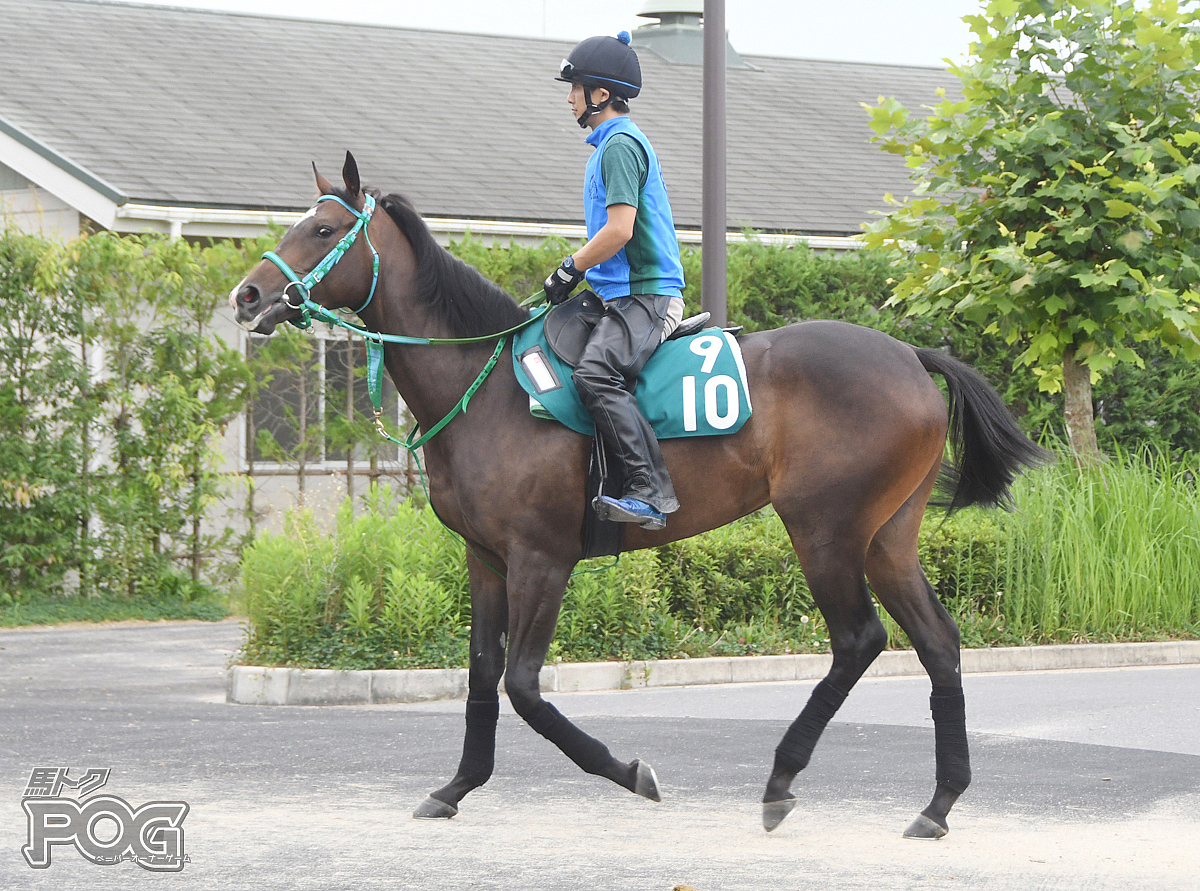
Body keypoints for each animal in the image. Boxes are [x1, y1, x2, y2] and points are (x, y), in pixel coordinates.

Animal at [229, 154, 1046, 845]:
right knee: (938, 642)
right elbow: (482, 676)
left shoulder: (542, 559)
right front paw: (457, 785)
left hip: (825, 528)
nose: (248, 295)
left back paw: (781, 780)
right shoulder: (485, 558)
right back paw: (938, 804)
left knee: (858, 641)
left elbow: (524, 687)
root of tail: (910, 355)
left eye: (323, 228)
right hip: (886, 536)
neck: (488, 386)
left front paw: (627, 771)